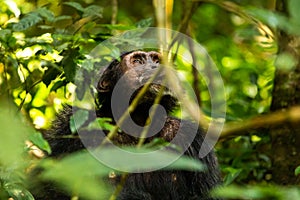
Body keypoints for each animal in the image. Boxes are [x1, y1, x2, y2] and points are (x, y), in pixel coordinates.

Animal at [36, 50, 223, 199]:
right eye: (138, 61)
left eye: (157, 60)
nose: (155, 67)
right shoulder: (69, 130)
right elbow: (51, 187)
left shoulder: (193, 137)